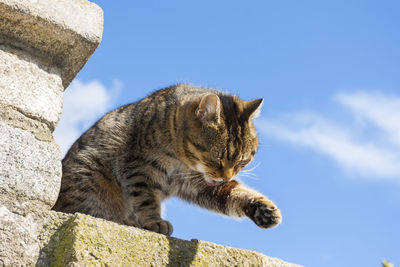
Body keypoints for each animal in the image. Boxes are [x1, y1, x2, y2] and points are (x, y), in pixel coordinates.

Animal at [53, 84, 282, 237]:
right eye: (216, 158)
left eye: (242, 161)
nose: (226, 176)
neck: (181, 161)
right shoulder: (140, 168)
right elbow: (145, 198)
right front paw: (154, 221)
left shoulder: (200, 184)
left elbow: (235, 192)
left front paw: (264, 209)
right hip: (89, 177)